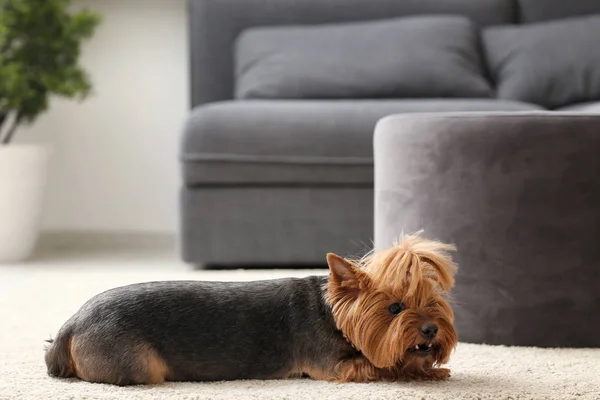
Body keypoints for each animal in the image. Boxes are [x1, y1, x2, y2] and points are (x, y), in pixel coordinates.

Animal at [45, 233, 460, 386]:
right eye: (394, 308)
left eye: (431, 303)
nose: (431, 330)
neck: (332, 313)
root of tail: (71, 324)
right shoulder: (331, 365)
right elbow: (380, 365)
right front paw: (414, 369)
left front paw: (429, 368)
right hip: (138, 364)